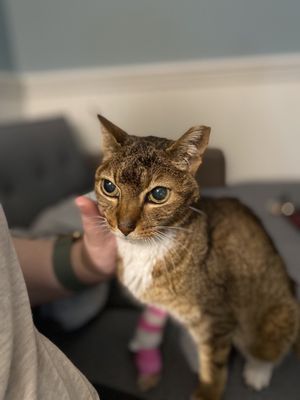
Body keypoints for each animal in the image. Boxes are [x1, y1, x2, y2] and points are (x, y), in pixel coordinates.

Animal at [94, 115, 300, 400]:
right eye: (109, 187)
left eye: (158, 194)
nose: (124, 226)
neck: (147, 249)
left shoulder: (217, 317)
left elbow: (214, 364)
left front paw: (207, 391)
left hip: (273, 318)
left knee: (268, 350)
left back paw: (256, 372)